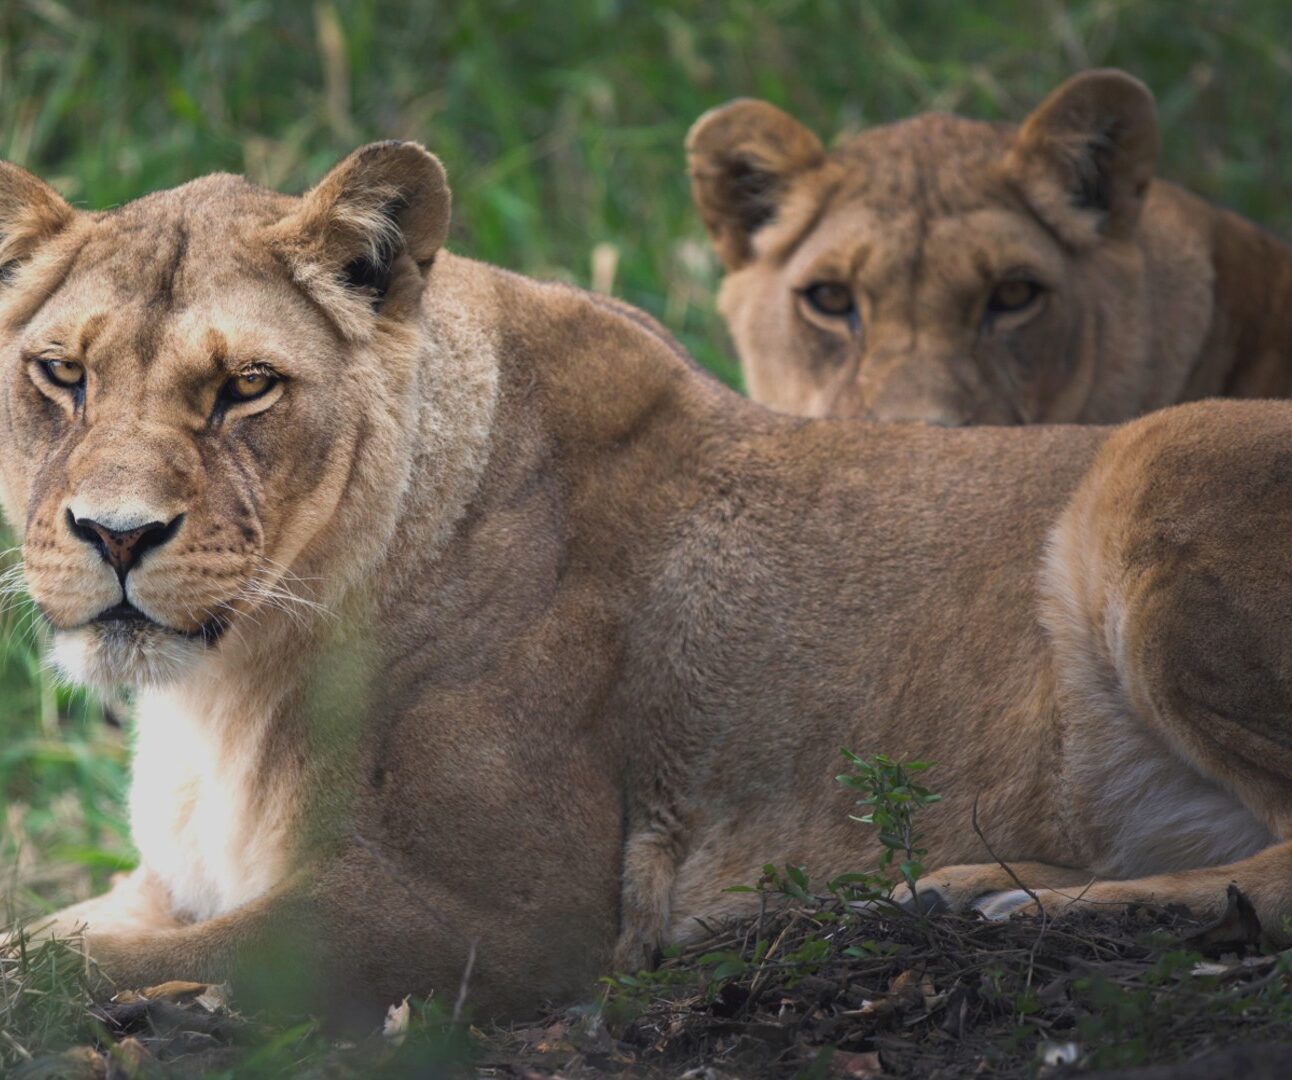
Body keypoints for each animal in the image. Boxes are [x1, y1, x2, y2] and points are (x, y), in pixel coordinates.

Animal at [4, 144, 1292, 1022]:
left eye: (247, 388)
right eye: (59, 373)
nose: (115, 535)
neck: (219, 686)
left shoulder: (493, 915)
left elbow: (75, 958)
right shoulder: (168, 883)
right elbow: (57, 924)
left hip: (1149, 464)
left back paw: (1002, 904)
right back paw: (937, 888)